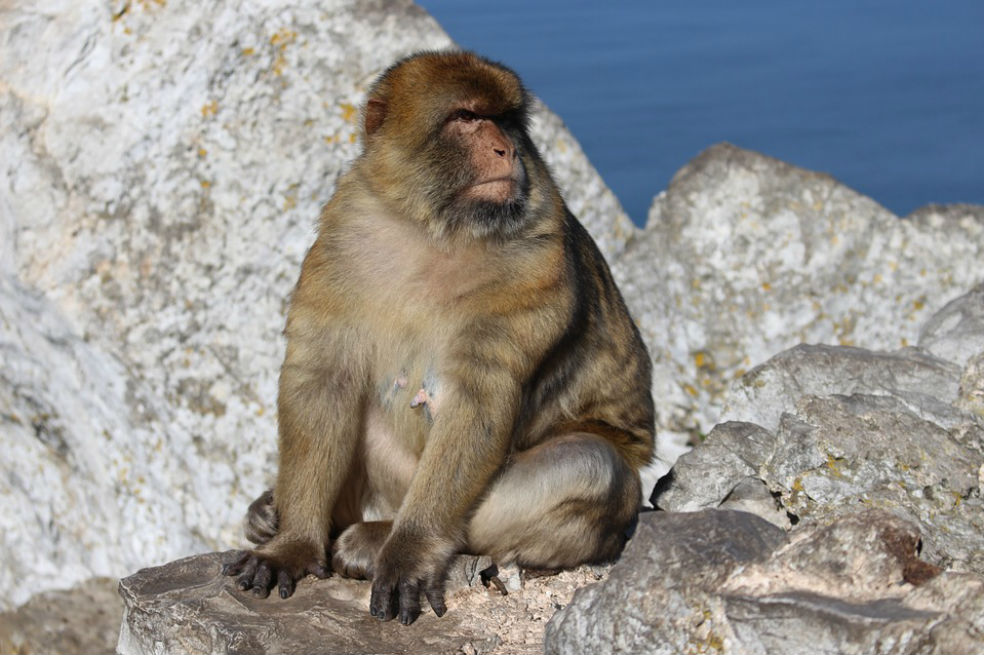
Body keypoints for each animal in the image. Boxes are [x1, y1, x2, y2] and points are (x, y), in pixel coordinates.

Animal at [222, 51, 655, 625]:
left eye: (507, 120)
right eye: (467, 118)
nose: (505, 148)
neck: (435, 231)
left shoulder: (535, 262)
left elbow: (479, 401)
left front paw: (410, 552)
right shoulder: (343, 233)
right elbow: (325, 379)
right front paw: (292, 542)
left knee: (590, 467)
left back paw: (377, 537)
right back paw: (282, 515)